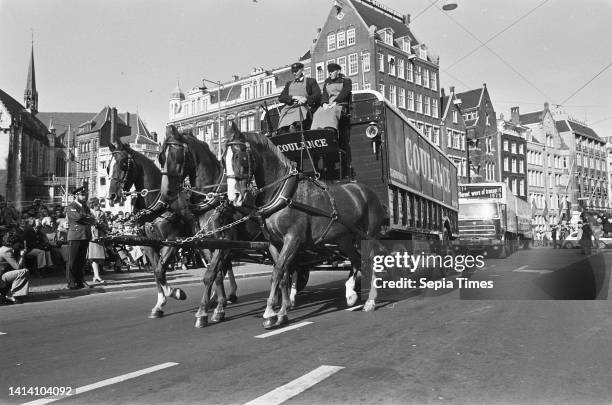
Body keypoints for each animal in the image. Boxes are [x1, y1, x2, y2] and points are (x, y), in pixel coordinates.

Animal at [225, 121, 384, 326]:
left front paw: (269, 312)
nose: (233, 196)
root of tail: (366, 190)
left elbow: (277, 272)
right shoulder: (274, 243)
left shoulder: (293, 238)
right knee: (356, 259)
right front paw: (282, 311)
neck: (282, 192)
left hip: (369, 235)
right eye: (223, 159)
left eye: (239, 156)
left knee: (372, 261)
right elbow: (283, 274)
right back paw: (350, 293)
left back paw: (370, 300)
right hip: (344, 238)